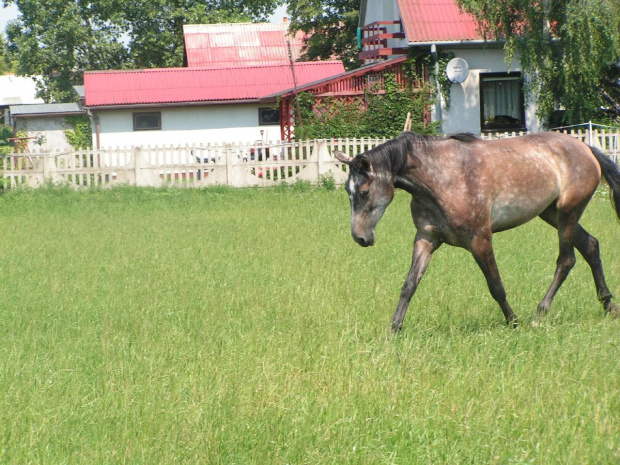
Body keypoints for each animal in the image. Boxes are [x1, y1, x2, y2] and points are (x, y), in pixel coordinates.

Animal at [334, 132, 620, 332]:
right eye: (348, 191)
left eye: (364, 191)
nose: (360, 237)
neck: (443, 177)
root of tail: (586, 148)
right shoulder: (426, 239)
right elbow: (409, 285)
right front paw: (394, 329)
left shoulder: (480, 239)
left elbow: (496, 286)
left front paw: (513, 322)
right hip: (552, 213)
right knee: (591, 246)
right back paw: (609, 306)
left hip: (568, 212)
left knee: (567, 260)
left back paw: (539, 315)